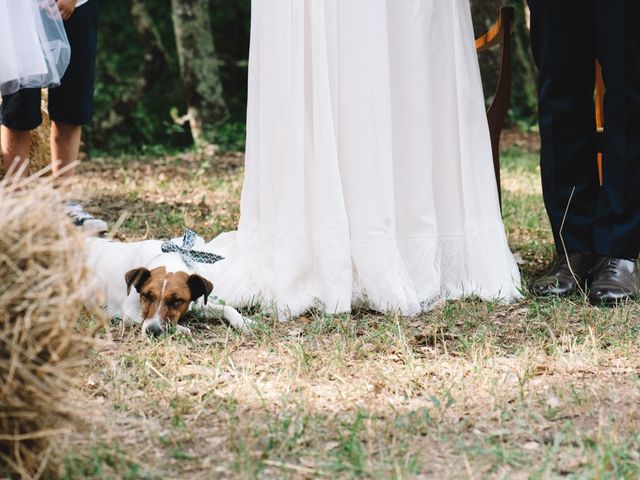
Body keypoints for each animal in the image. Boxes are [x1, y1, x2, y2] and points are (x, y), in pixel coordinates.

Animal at [87, 231, 250, 336]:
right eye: (147, 296)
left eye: (177, 300)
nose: (153, 331)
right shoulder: (129, 311)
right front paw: (180, 329)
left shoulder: (197, 305)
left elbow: (227, 308)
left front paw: (243, 322)